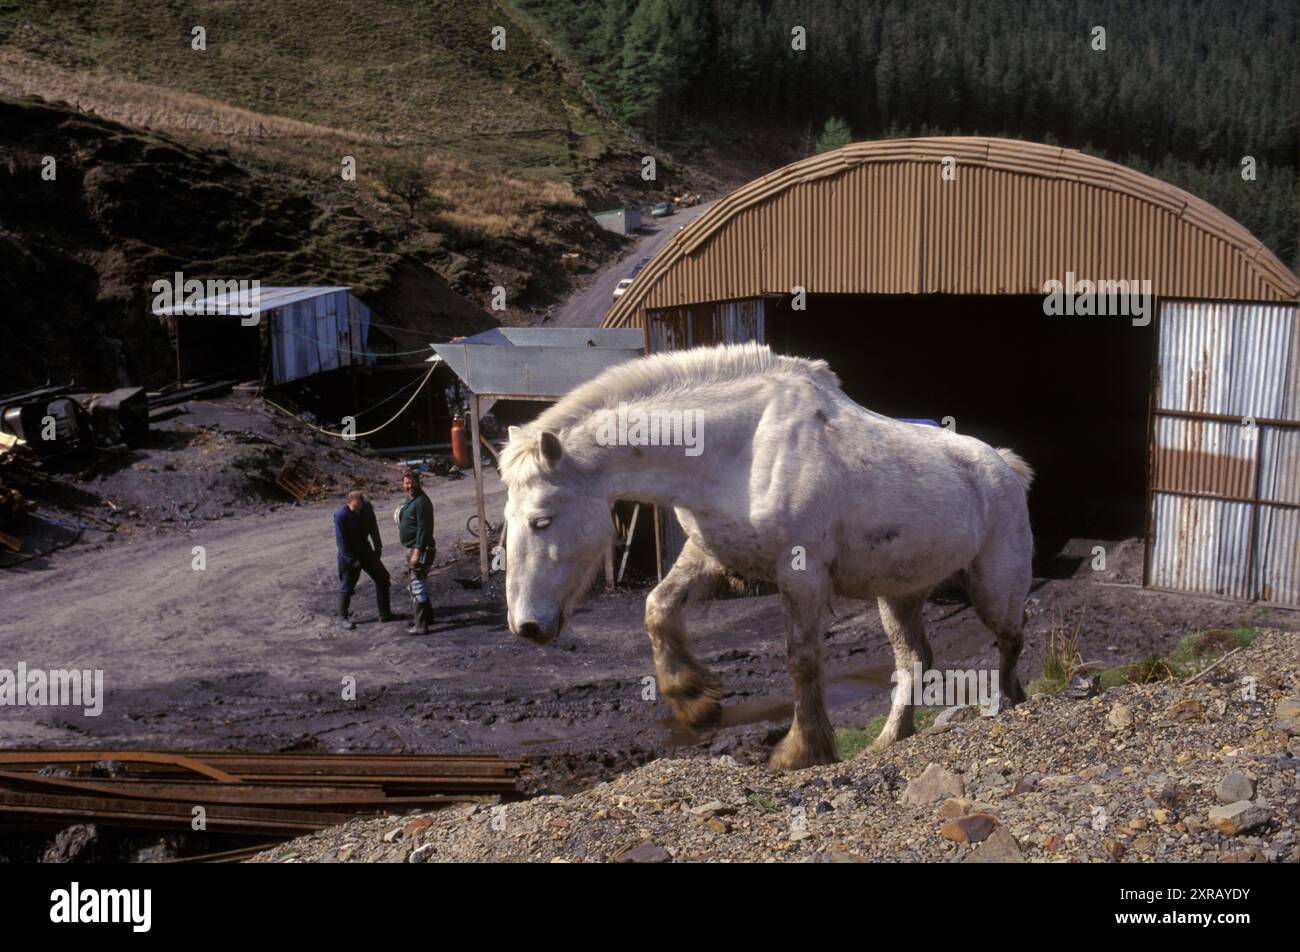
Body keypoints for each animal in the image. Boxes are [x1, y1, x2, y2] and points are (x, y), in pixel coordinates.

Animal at [499, 343, 1034, 775]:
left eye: (541, 520)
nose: (526, 626)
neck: (742, 448)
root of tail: (1005, 466)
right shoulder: (709, 556)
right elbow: (657, 607)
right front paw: (695, 702)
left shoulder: (800, 575)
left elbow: (802, 660)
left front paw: (801, 753)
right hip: (900, 594)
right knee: (914, 661)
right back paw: (889, 740)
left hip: (993, 588)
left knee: (1011, 640)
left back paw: (1010, 703)